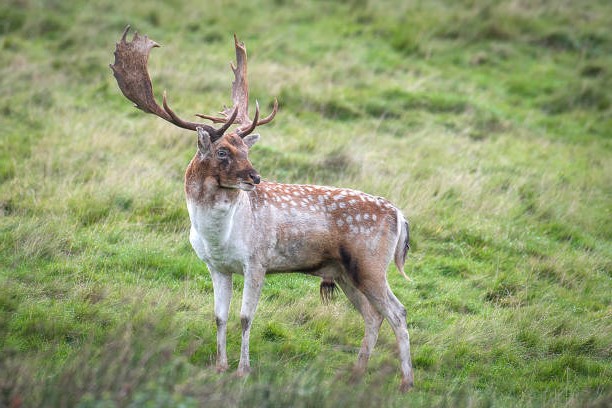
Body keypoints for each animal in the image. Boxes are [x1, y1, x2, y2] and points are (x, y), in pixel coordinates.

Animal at [112, 26, 414, 392]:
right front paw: (220, 366)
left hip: (370, 263)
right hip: (344, 272)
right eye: (223, 152)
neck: (217, 236)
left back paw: (406, 382)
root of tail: (400, 216)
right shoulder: (216, 266)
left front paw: (243, 370)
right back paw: (356, 374)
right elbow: (219, 316)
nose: (255, 177)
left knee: (397, 312)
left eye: (246, 149)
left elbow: (245, 317)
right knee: (373, 315)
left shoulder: (256, 261)